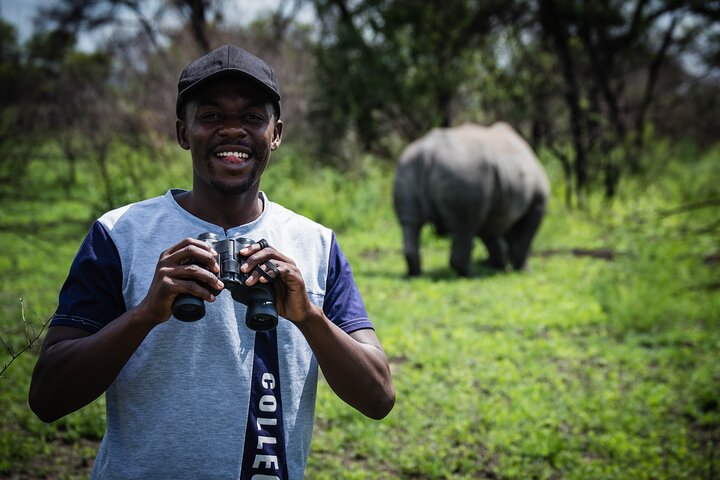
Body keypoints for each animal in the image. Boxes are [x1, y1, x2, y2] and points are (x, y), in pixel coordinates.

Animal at [392, 122, 550, 277]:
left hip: (407, 166)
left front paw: (499, 266)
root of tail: (428, 151)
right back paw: (472, 275)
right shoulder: (537, 203)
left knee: (410, 222)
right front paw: (524, 271)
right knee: (464, 229)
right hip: (464, 171)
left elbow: (493, 237)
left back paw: (415, 274)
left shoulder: (497, 206)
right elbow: (523, 240)